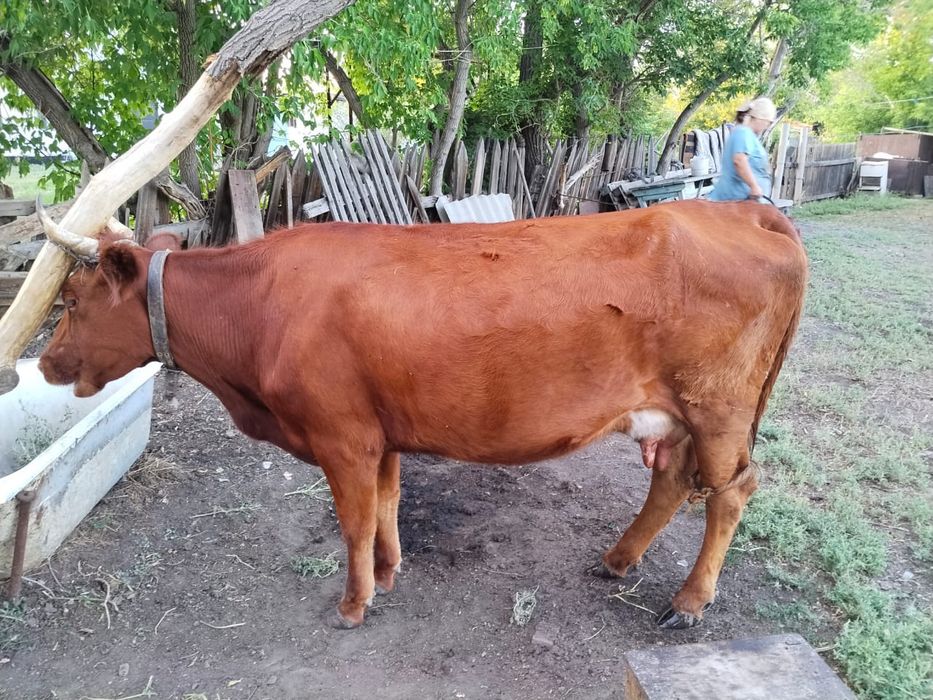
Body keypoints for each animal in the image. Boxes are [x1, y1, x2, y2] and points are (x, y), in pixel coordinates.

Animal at [35, 198, 807, 630]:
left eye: (71, 300)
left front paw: (353, 605)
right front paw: (388, 571)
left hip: (716, 406)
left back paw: (688, 603)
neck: (258, 305)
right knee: (673, 481)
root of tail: (736, 209)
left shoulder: (341, 437)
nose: (43, 365)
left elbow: (351, 521)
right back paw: (617, 561)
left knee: (732, 490)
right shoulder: (379, 436)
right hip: (679, 414)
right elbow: (386, 504)